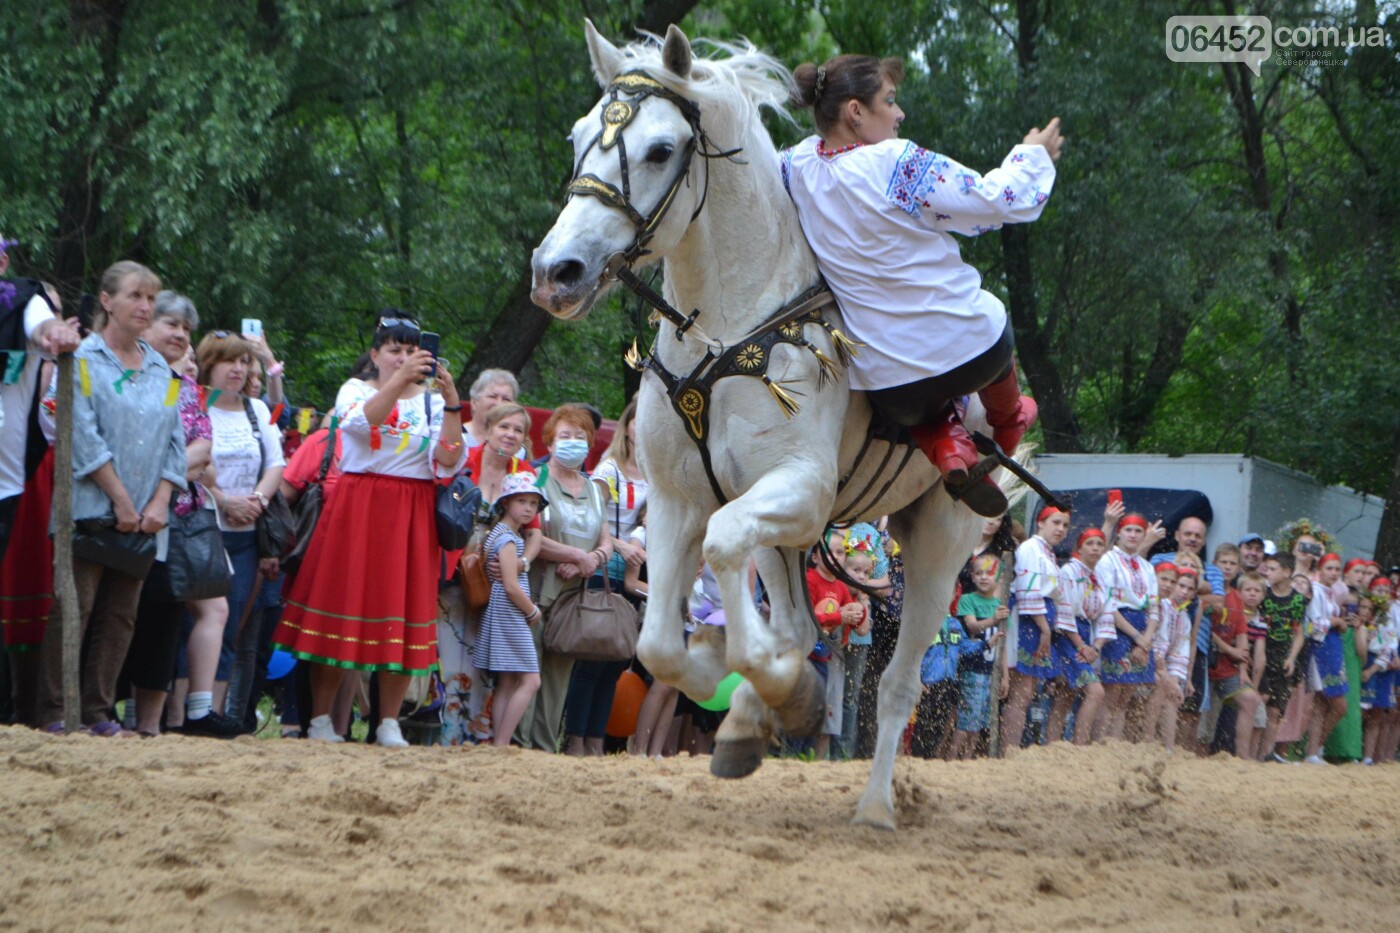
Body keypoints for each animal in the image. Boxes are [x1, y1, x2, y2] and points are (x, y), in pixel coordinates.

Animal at [526, 21, 1008, 823]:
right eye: (578, 137)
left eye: (661, 149)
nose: (556, 271)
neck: (723, 331)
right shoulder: (679, 501)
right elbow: (658, 646)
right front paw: (754, 688)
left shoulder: (799, 491)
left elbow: (724, 565)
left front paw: (777, 686)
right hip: (794, 539)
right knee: (801, 626)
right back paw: (756, 716)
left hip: (940, 542)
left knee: (897, 683)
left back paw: (874, 803)